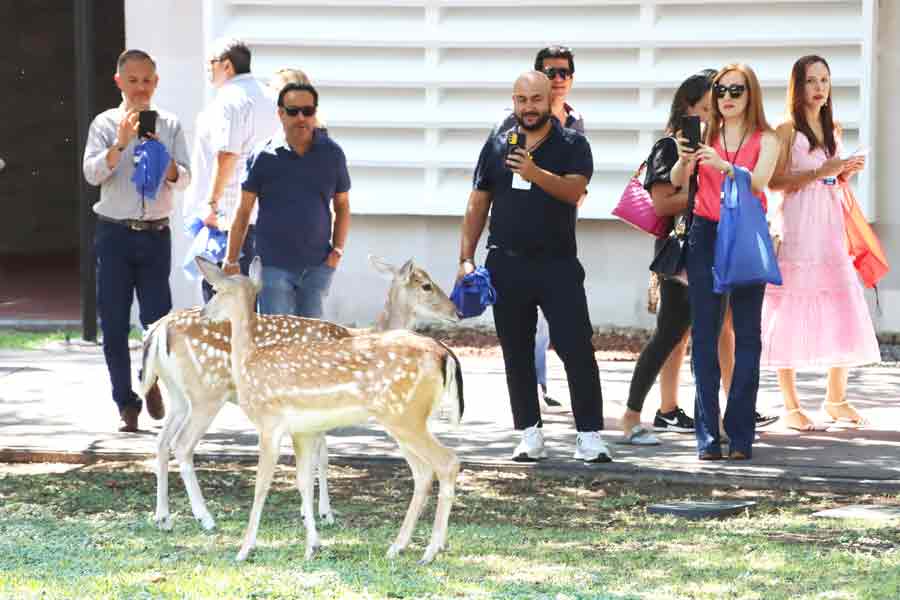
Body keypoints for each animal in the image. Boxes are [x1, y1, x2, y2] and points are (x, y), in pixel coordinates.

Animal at [142, 255, 464, 532]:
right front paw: (323, 513)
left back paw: (163, 517)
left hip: (178, 395)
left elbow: (318, 455)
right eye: (426, 284)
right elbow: (323, 456)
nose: (458, 312)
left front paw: (314, 511)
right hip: (206, 393)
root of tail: (158, 329)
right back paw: (205, 517)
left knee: (162, 442)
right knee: (183, 445)